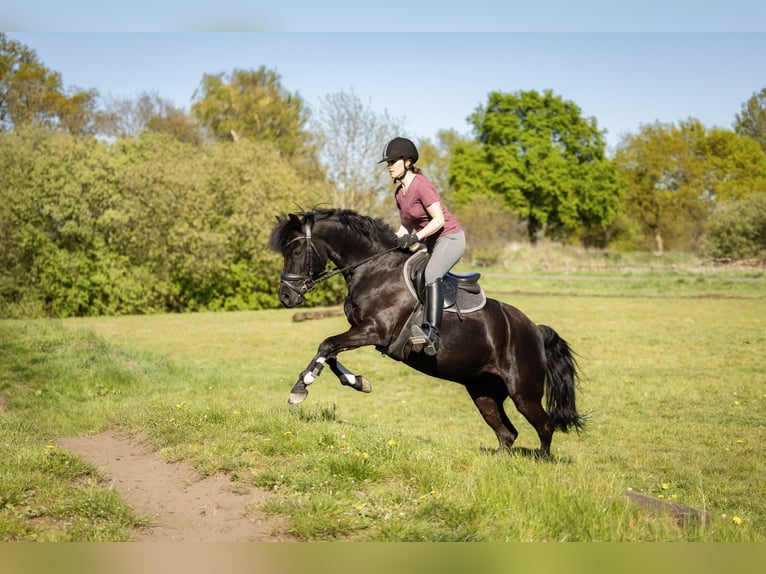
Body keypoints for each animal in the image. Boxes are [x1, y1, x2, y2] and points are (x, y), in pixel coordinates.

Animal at [269, 208, 584, 456]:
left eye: (295, 251)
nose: (286, 296)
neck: (374, 267)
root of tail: (534, 330)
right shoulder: (358, 330)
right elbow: (331, 351)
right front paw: (357, 382)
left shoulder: (375, 330)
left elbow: (326, 345)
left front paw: (300, 388)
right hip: (483, 391)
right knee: (507, 433)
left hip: (524, 393)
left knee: (544, 426)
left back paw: (542, 463)